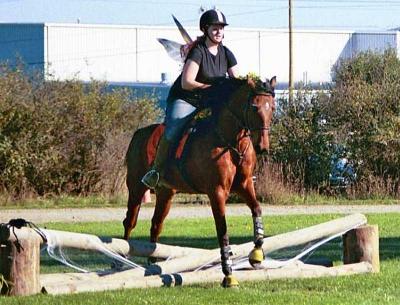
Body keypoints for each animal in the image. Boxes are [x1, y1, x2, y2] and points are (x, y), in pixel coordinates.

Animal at [123, 75, 276, 284]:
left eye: (273, 107)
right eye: (254, 106)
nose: (262, 147)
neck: (230, 142)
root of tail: (138, 133)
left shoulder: (244, 186)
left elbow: (257, 209)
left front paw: (257, 255)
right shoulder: (216, 192)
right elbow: (222, 229)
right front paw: (228, 275)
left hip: (166, 192)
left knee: (156, 224)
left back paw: (152, 264)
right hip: (136, 188)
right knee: (129, 222)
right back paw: (121, 262)